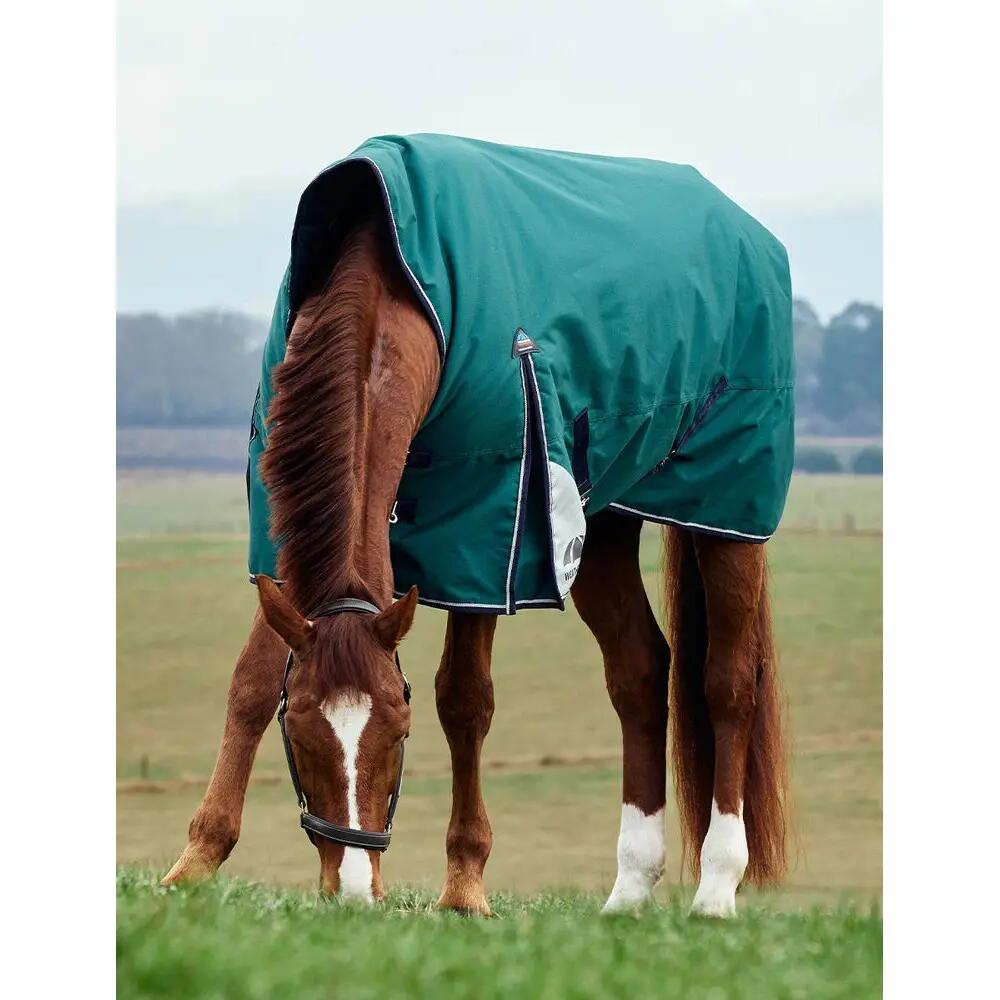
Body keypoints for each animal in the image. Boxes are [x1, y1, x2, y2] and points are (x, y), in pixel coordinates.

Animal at [161, 139, 790, 917]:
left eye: (398, 732)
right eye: (300, 727)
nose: (355, 890)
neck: (394, 285)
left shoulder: (484, 534)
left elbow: (464, 699)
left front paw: (463, 886)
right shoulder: (280, 537)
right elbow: (249, 680)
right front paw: (195, 862)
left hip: (729, 513)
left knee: (728, 681)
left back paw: (716, 889)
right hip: (599, 526)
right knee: (641, 673)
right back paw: (627, 891)